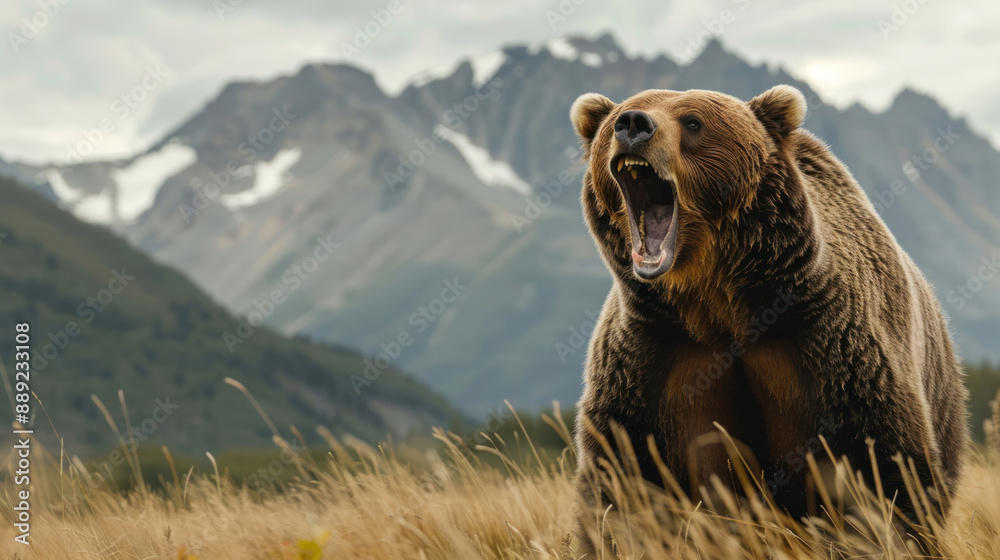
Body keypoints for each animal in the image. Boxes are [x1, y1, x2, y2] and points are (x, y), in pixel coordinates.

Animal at [568, 85, 969, 553]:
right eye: (620, 117)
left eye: (693, 121)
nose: (633, 125)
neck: (718, 306)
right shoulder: (651, 355)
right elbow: (622, 478)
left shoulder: (830, 344)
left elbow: (882, 467)